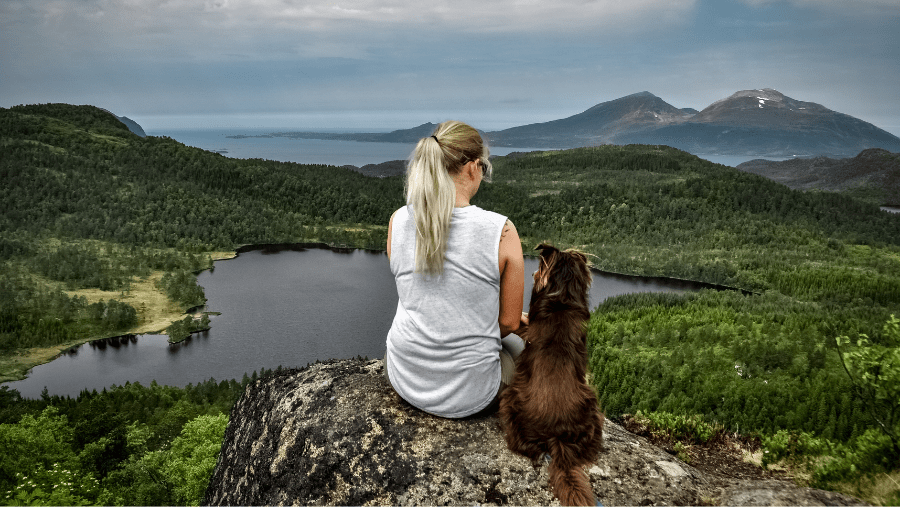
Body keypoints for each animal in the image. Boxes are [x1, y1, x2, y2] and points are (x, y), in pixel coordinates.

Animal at [500, 244, 604, 506]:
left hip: (509, 398)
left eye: (537, 270)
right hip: (593, 406)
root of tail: (557, 437)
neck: (562, 301)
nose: (533, 273)